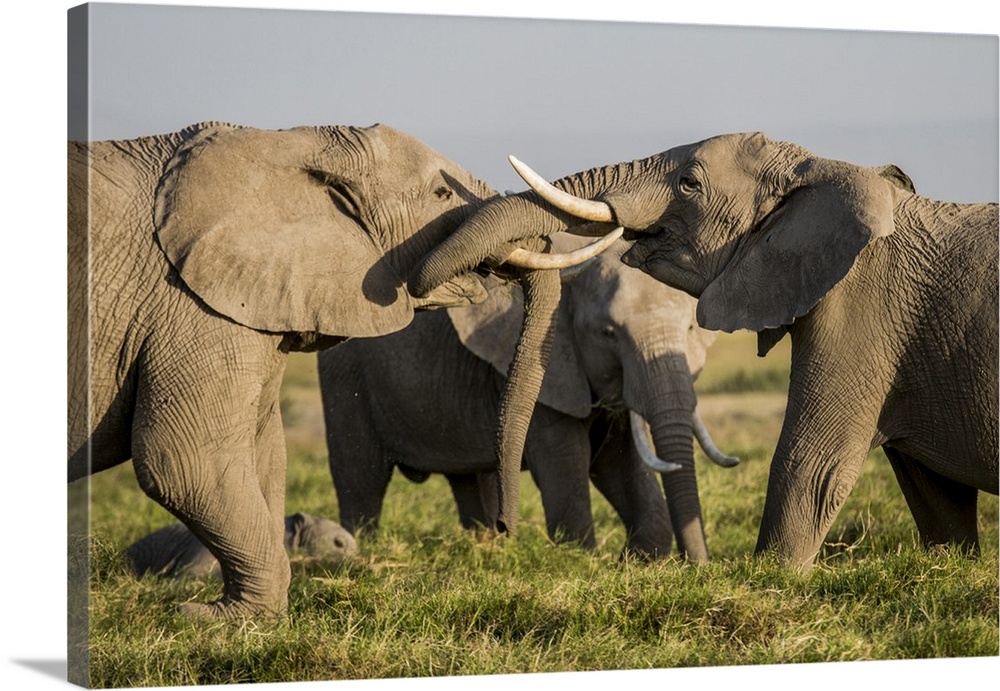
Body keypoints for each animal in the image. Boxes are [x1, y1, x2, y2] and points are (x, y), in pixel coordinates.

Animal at [320, 239, 736, 564]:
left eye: (690, 328)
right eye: (608, 333)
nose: (699, 567)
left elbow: (620, 463)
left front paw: (638, 561)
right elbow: (566, 465)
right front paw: (581, 560)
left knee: (472, 480)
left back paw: (488, 545)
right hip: (345, 374)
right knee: (361, 478)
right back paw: (363, 549)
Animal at [408, 132, 1000, 572]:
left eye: (690, 182)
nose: (505, 527)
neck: (822, 169)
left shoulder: (862, 305)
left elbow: (812, 465)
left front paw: (774, 580)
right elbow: (935, 494)